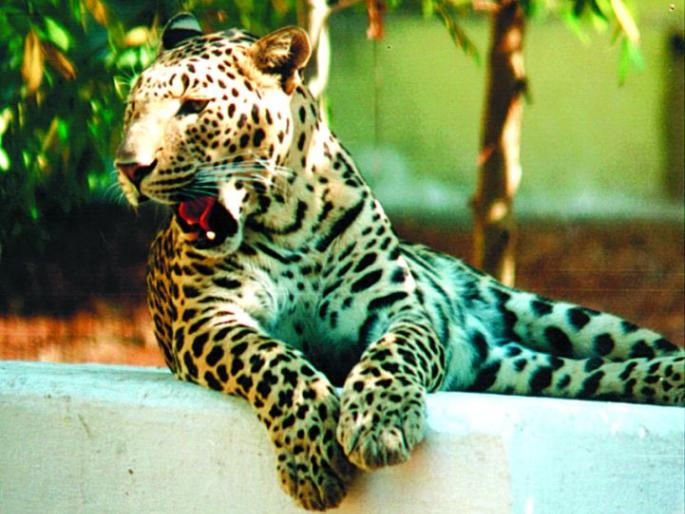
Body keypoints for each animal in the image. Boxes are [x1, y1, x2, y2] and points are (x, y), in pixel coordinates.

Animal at [115, 12, 685, 511]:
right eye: (130, 108)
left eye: (193, 107)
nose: (128, 167)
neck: (285, 218)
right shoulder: (205, 321)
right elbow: (275, 361)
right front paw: (313, 457)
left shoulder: (402, 308)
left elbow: (392, 353)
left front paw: (380, 423)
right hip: (517, 369)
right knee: (588, 373)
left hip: (550, 313)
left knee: (623, 343)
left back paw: (673, 371)